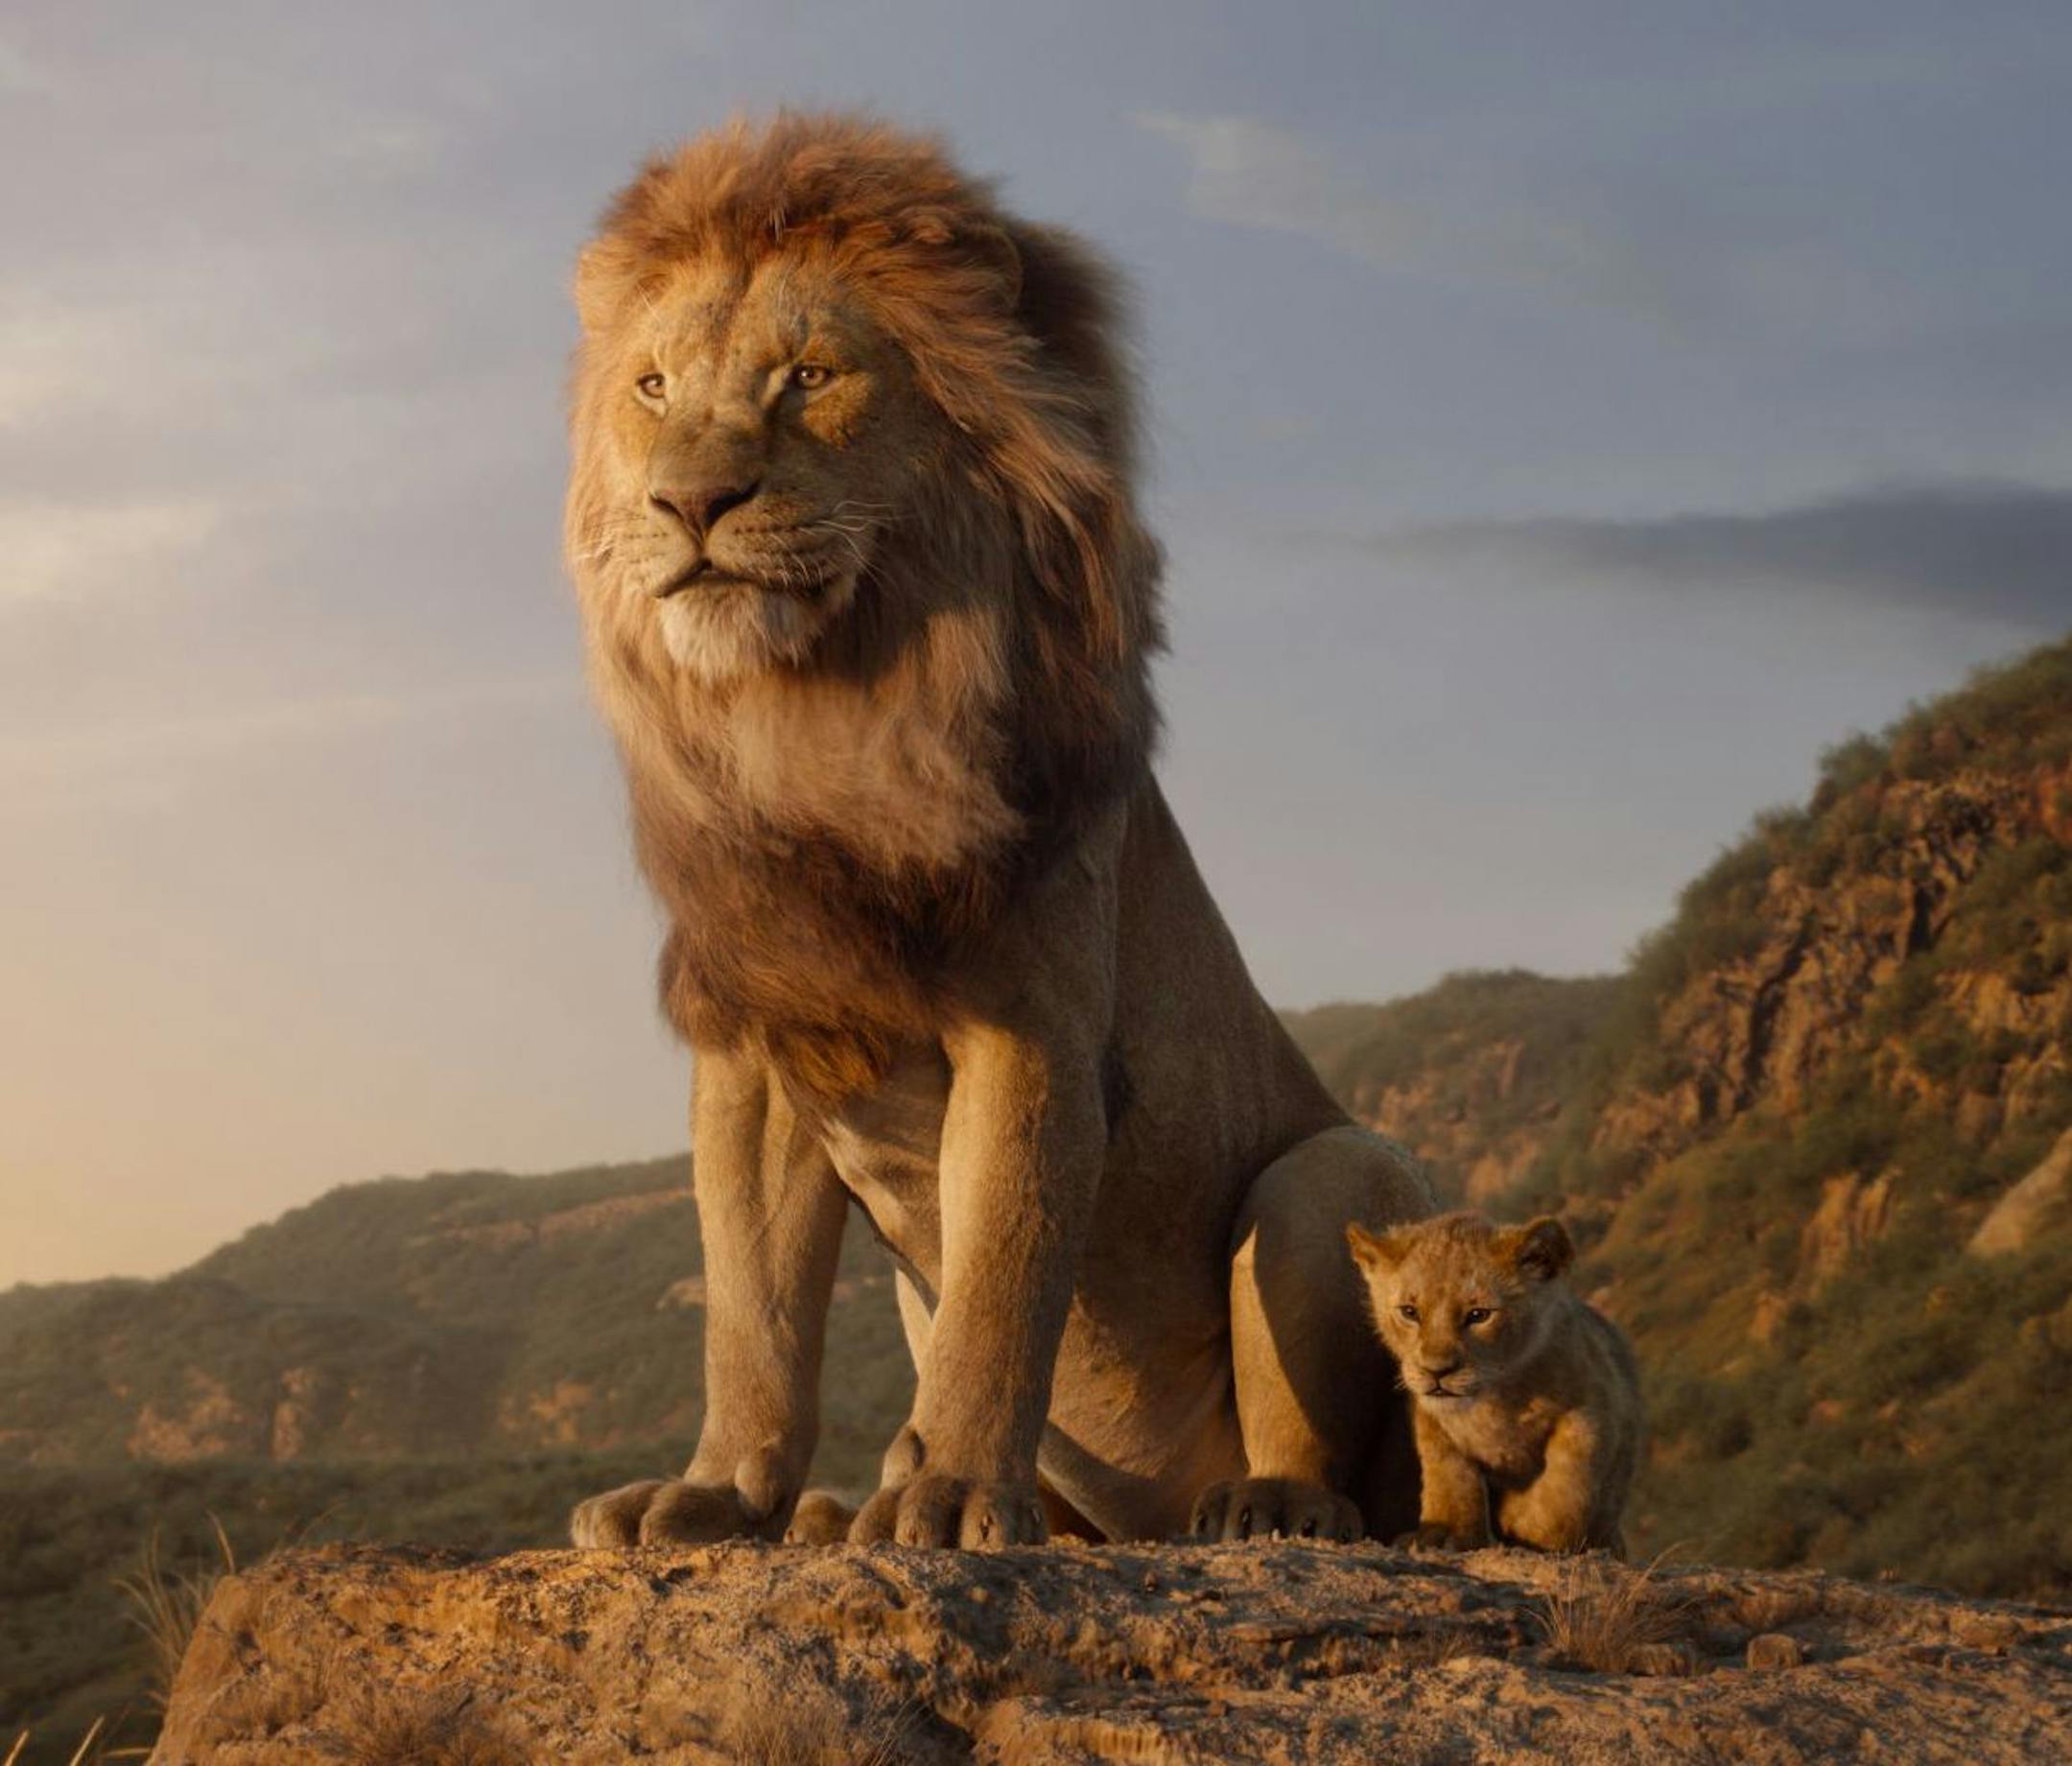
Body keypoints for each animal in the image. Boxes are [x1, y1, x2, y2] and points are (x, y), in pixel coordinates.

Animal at [561, 113, 1434, 1550]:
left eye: (810, 377)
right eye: (651, 389)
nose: (689, 503)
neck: (819, 718)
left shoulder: (1032, 1029)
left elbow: (1002, 1283)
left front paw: (958, 1491)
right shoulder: (759, 1046)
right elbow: (753, 1312)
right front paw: (720, 1491)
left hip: (1333, 1172)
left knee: (1335, 1462)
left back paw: (1261, 1505)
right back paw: (841, 1510)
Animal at [1346, 1213, 1642, 1555]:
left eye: (1478, 1315)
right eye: (1409, 1312)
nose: (1436, 1371)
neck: (1494, 1398)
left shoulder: (1592, 1410)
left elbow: (1566, 1486)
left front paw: (1528, 1528)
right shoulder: (1432, 1421)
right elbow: (1450, 1475)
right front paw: (1445, 1534)